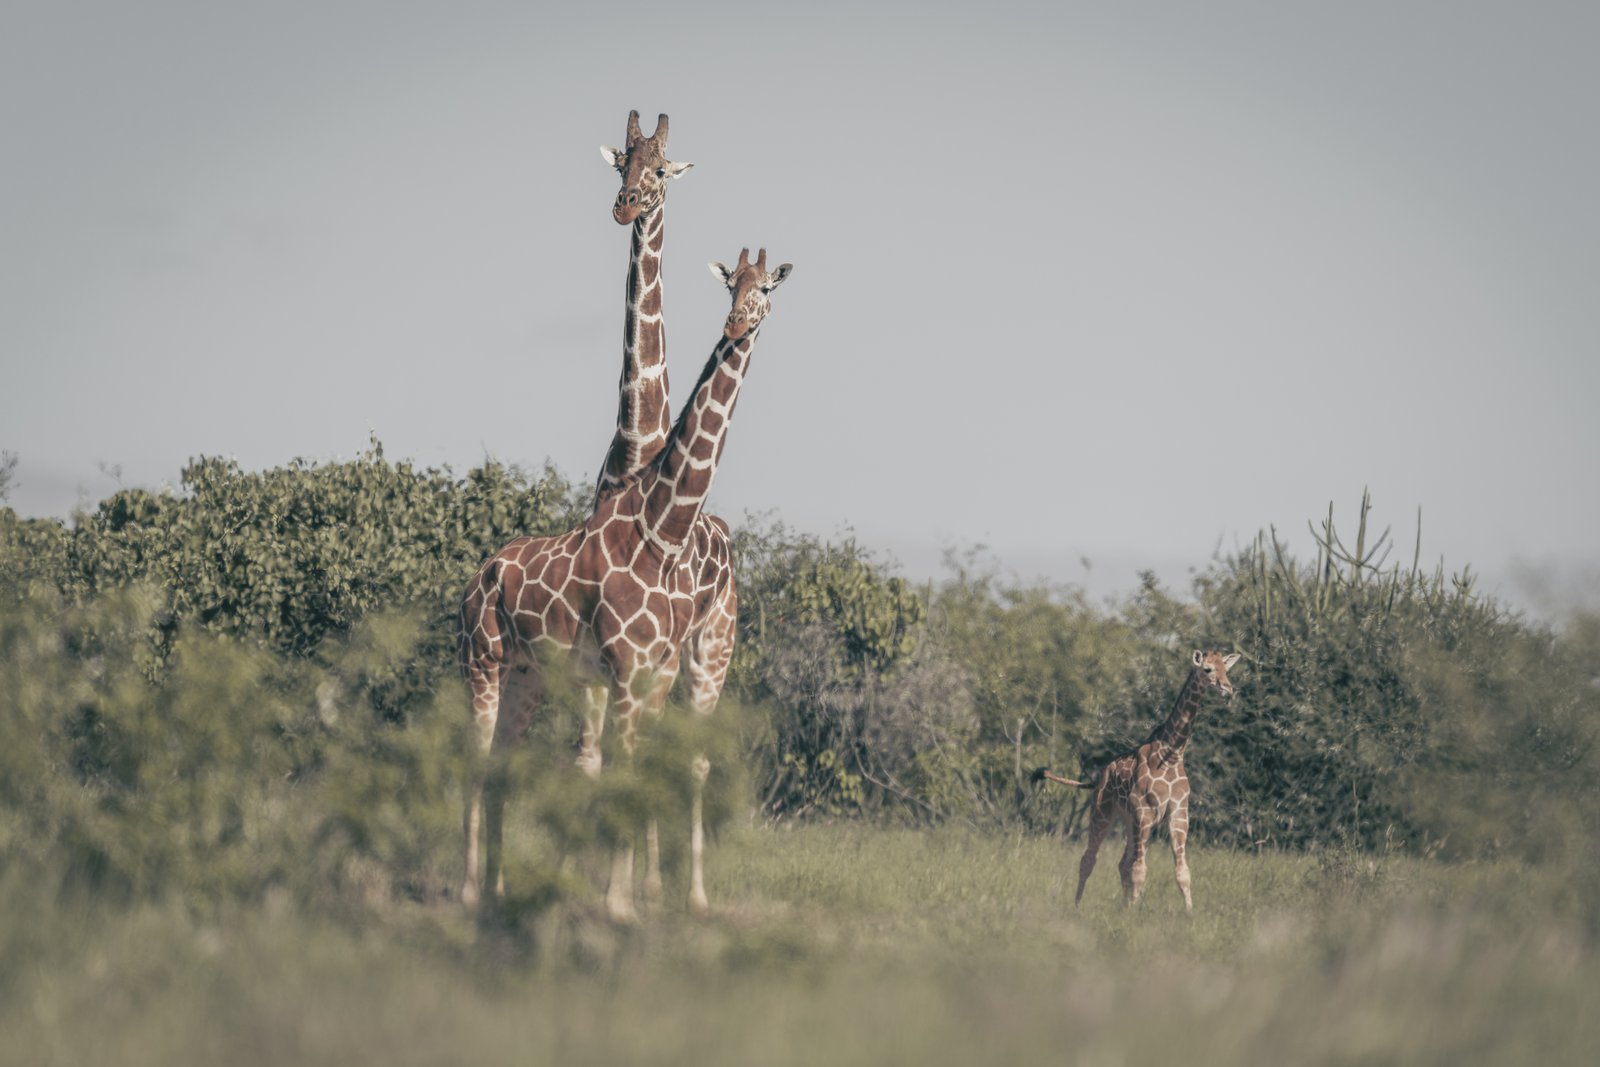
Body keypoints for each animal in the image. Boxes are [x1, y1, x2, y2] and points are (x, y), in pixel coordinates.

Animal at [459, 248, 792, 920]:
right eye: (731, 288)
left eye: (767, 289)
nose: (738, 325)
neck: (659, 530)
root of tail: (478, 577)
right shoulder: (625, 667)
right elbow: (617, 766)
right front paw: (617, 902)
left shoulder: (648, 667)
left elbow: (641, 766)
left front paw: (631, 896)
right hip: (480, 659)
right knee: (476, 760)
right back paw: (466, 888)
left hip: (533, 673)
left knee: (507, 762)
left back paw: (502, 891)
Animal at [1036, 649, 1241, 910]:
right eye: (1207, 669)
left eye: (1226, 669)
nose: (1228, 689)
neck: (1172, 756)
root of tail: (1099, 776)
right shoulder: (1144, 812)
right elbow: (1139, 870)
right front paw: (1133, 913)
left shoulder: (1178, 814)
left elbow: (1182, 871)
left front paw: (1188, 913)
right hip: (1103, 812)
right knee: (1089, 859)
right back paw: (1077, 906)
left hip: (1129, 820)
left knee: (1122, 862)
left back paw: (1122, 904)